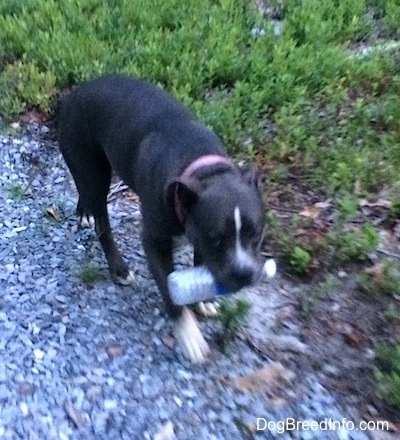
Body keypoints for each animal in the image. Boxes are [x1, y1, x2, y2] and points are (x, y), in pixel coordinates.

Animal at [56, 75, 266, 362]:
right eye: (215, 240)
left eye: (256, 236)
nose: (243, 273)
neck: (202, 169)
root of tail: (73, 94)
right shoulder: (155, 243)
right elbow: (170, 291)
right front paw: (189, 335)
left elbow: (200, 262)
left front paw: (204, 299)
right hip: (93, 170)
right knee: (102, 221)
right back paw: (118, 267)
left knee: (85, 192)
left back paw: (84, 212)